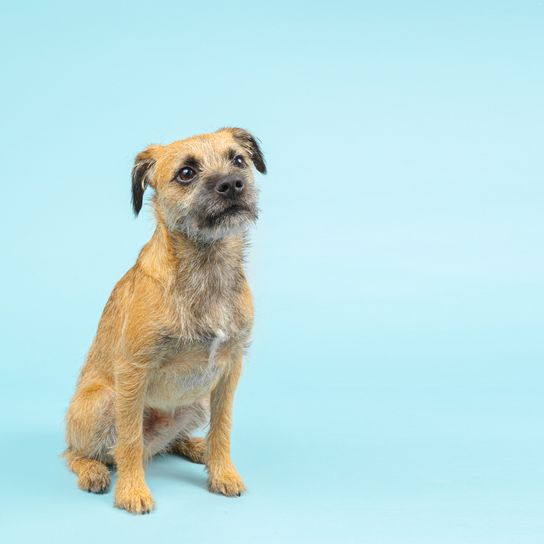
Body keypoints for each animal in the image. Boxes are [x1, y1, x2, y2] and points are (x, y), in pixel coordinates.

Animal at [63, 127, 266, 516]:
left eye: (238, 160)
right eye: (186, 173)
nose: (232, 184)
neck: (207, 266)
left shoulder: (229, 369)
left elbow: (223, 427)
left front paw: (222, 472)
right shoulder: (133, 371)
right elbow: (128, 439)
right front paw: (132, 491)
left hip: (196, 401)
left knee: (163, 445)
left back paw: (195, 447)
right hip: (103, 401)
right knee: (83, 452)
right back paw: (93, 470)